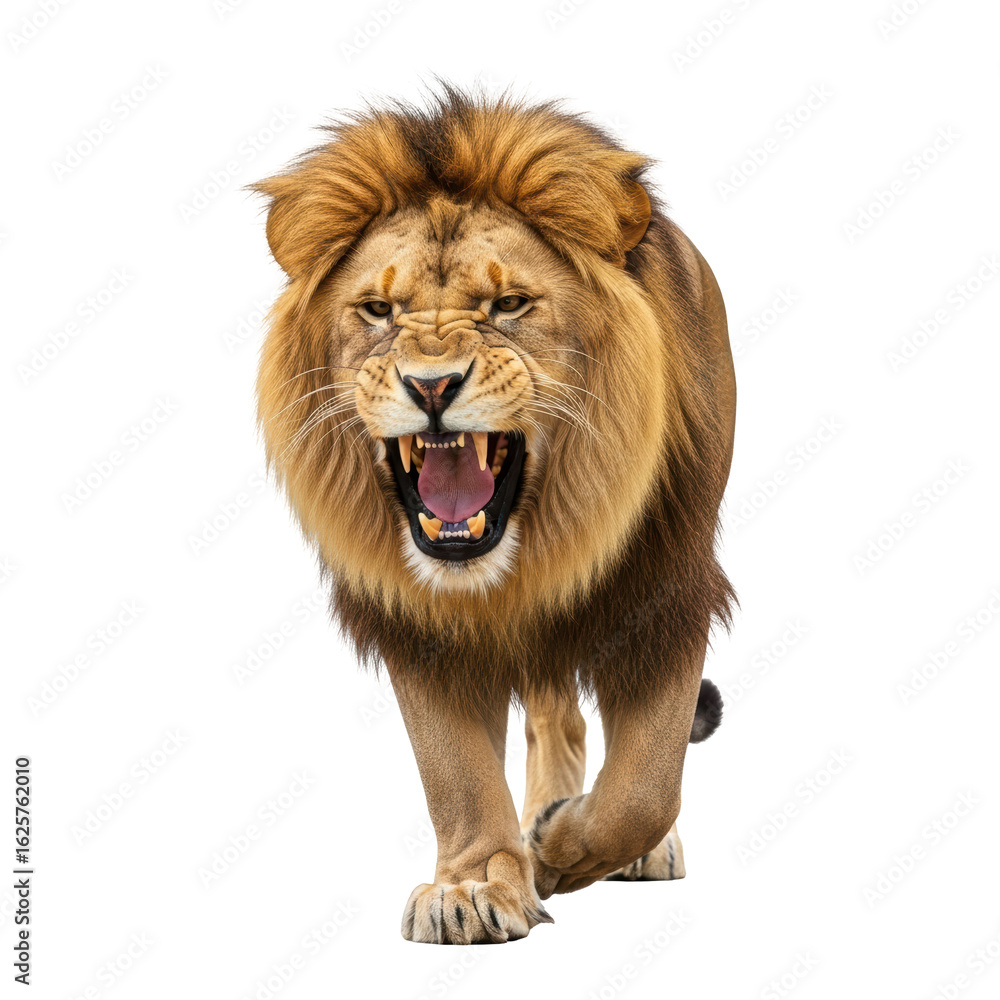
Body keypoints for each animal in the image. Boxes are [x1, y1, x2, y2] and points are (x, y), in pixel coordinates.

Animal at [251, 85, 736, 944]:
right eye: (377, 309)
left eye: (509, 304)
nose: (432, 385)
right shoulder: (418, 624)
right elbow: (456, 773)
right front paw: (476, 885)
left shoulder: (668, 586)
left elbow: (646, 784)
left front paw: (560, 849)